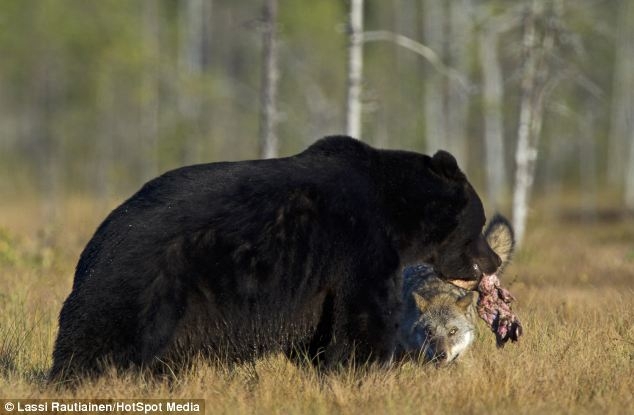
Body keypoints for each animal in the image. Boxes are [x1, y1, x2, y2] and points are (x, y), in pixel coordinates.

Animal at [49, 137, 498, 384]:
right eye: (478, 222)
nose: (493, 260)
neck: (397, 209)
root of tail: (94, 247)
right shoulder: (360, 247)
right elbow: (362, 320)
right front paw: (367, 371)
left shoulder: (321, 285)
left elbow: (321, 333)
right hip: (147, 288)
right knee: (100, 343)